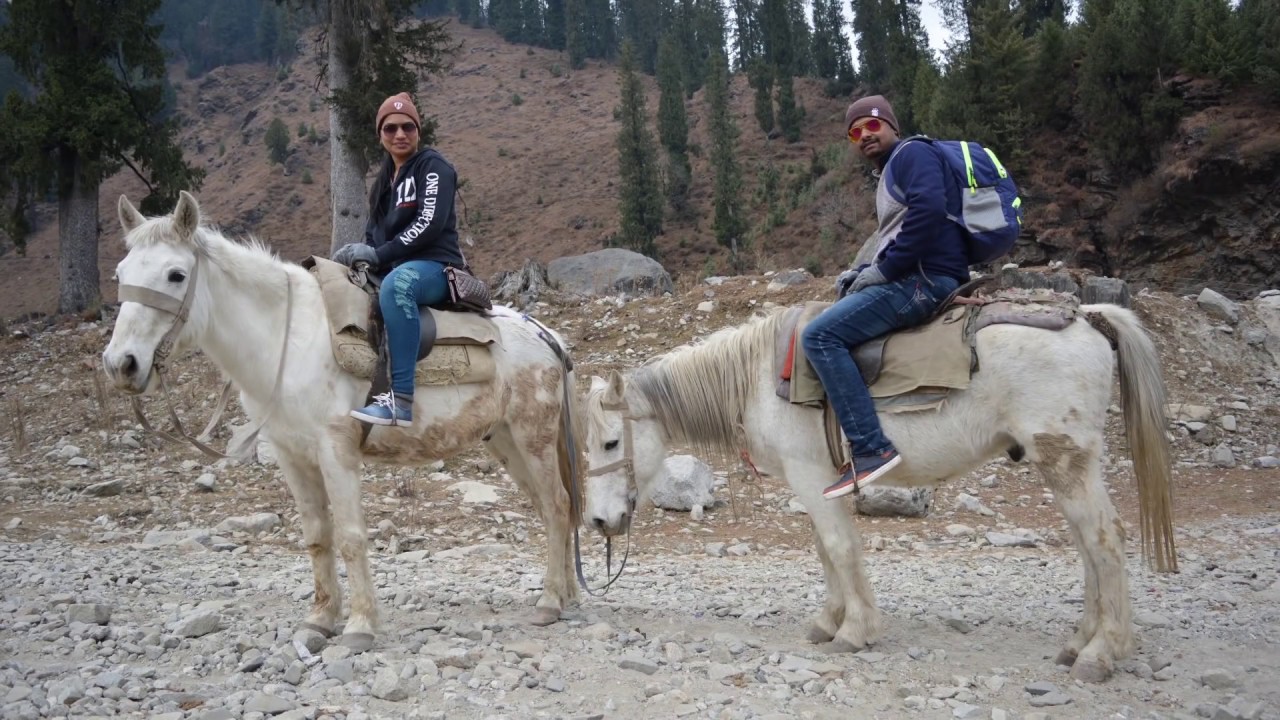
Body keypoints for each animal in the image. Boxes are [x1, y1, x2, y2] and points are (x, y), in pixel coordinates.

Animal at [102, 192, 583, 651]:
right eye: (121, 272)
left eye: (175, 274)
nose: (121, 364)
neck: (287, 338)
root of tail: (547, 336)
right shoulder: (291, 455)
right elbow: (318, 536)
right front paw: (319, 618)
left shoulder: (336, 450)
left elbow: (351, 536)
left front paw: (360, 625)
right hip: (507, 443)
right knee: (550, 509)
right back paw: (566, 595)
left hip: (533, 437)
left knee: (559, 506)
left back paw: (549, 602)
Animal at [581, 302, 1176, 683]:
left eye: (611, 442)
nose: (600, 522)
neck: (755, 377)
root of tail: (1090, 319)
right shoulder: (816, 482)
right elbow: (827, 552)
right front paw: (830, 622)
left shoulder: (810, 476)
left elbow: (840, 548)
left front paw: (855, 631)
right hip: (1064, 467)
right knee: (1089, 547)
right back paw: (1080, 642)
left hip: (1068, 462)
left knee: (1105, 541)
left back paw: (1102, 653)